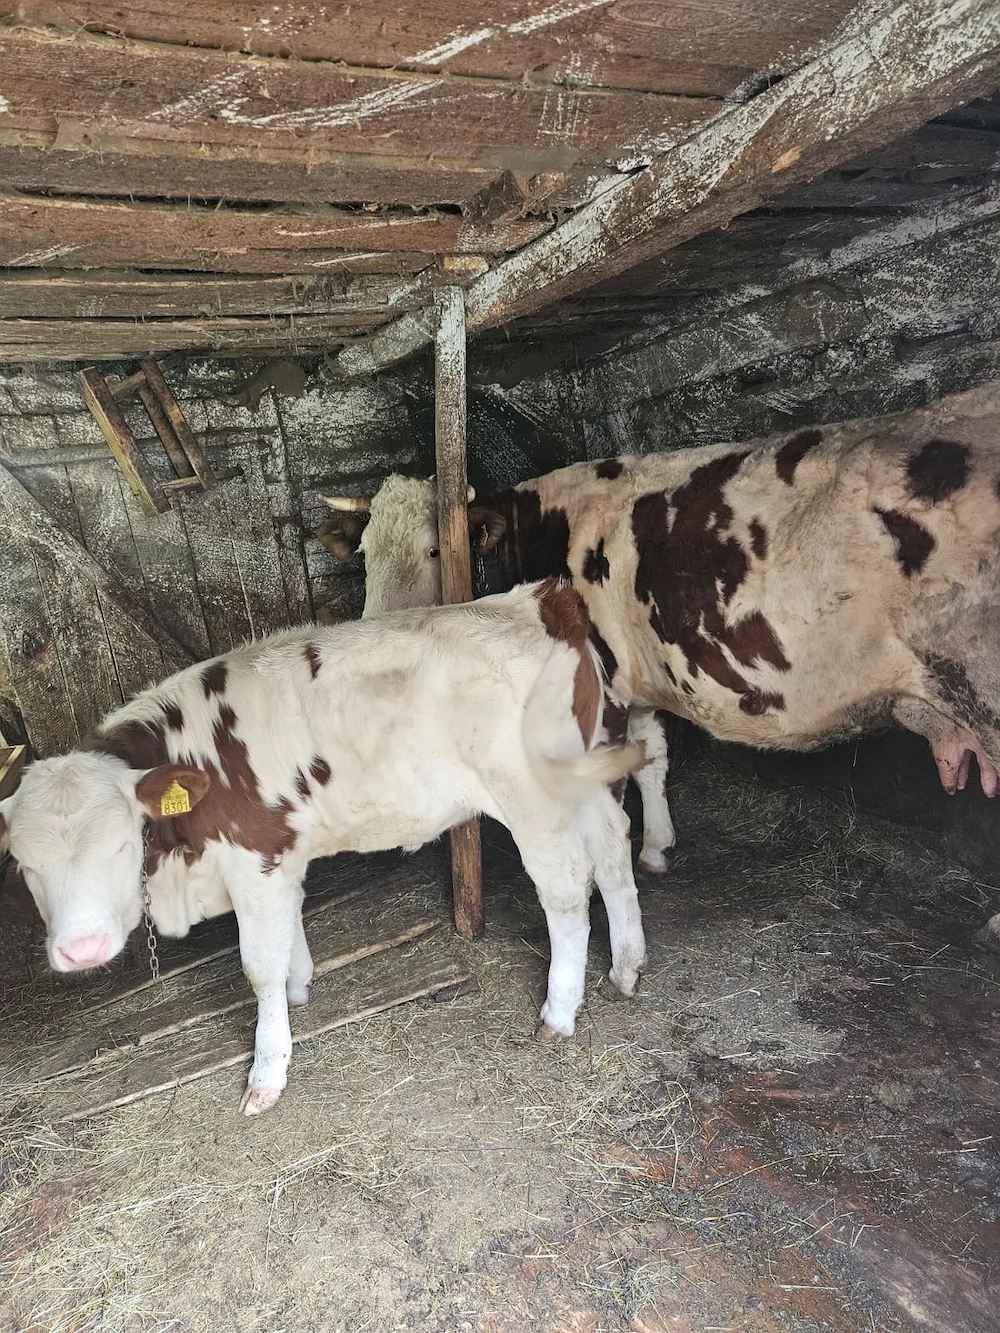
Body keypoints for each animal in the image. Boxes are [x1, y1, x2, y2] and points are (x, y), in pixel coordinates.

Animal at [0, 580, 646, 1116]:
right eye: (25, 866)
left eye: (119, 845)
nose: (82, 950)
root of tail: (540, 599)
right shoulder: (282, 855)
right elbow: (289, 932)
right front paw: (299, 988)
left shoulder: (257, 856)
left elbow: (258, 966)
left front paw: (267, 1072)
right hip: (591, 774)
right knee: (615, 852)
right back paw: (626, 968)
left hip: (536, 800)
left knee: (567, 888)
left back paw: (558, 1013)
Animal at [316, 386, 1000, 874]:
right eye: (366, 552)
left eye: (436, 550)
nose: (373, 626)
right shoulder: (635, 679)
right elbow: (653, 758)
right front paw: (656, 848)